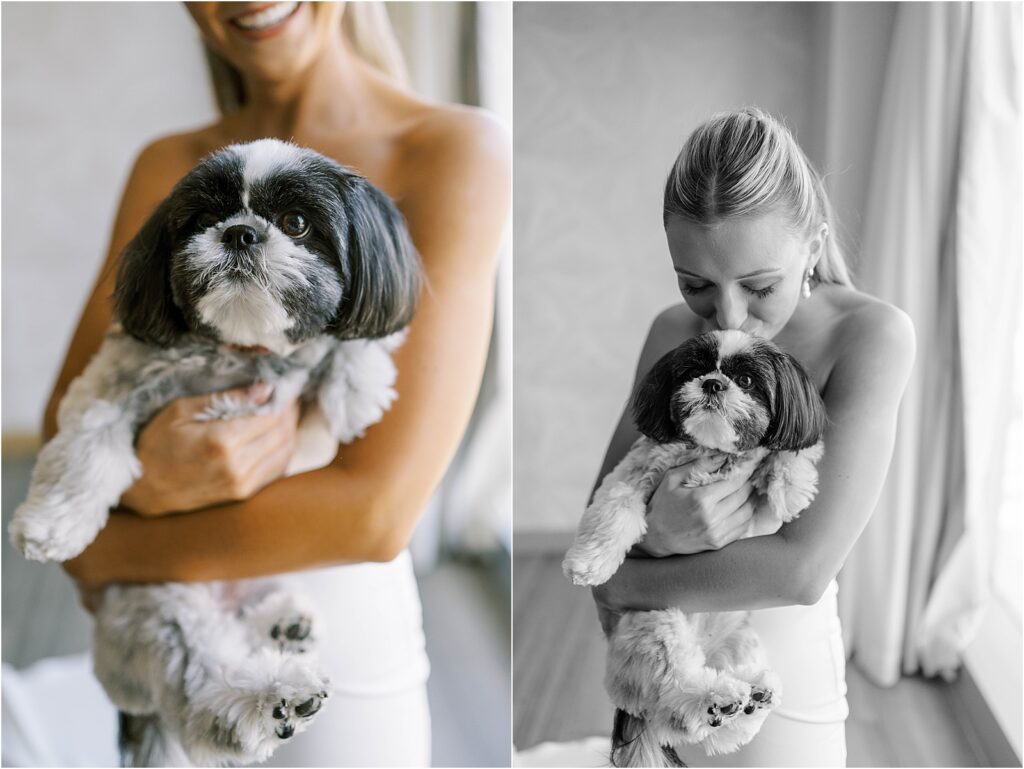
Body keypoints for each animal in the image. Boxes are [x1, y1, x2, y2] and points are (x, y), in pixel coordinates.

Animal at [9, 137, 417, 765]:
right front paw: (51, 526)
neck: (240, 350)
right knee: (205, 696)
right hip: (162, 607)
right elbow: (87, 448)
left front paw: (358, 384)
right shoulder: (109, 384)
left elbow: (353, 339)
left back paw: (284, 626)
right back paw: (274, 699)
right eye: (203, 219)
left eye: (296, 223)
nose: (241, 233)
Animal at [565, 327, 827, 765]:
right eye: (693, 371)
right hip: (656, 624)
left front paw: (792, 488)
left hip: (741, 638)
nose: (713, 383)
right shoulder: (632, 474)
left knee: (707, 729)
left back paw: (751, 696)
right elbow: (617, 507)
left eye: (747, 381)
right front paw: (588, 563)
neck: (712, 450)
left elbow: (790, 451)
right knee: (675, 701)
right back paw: (713, 699)